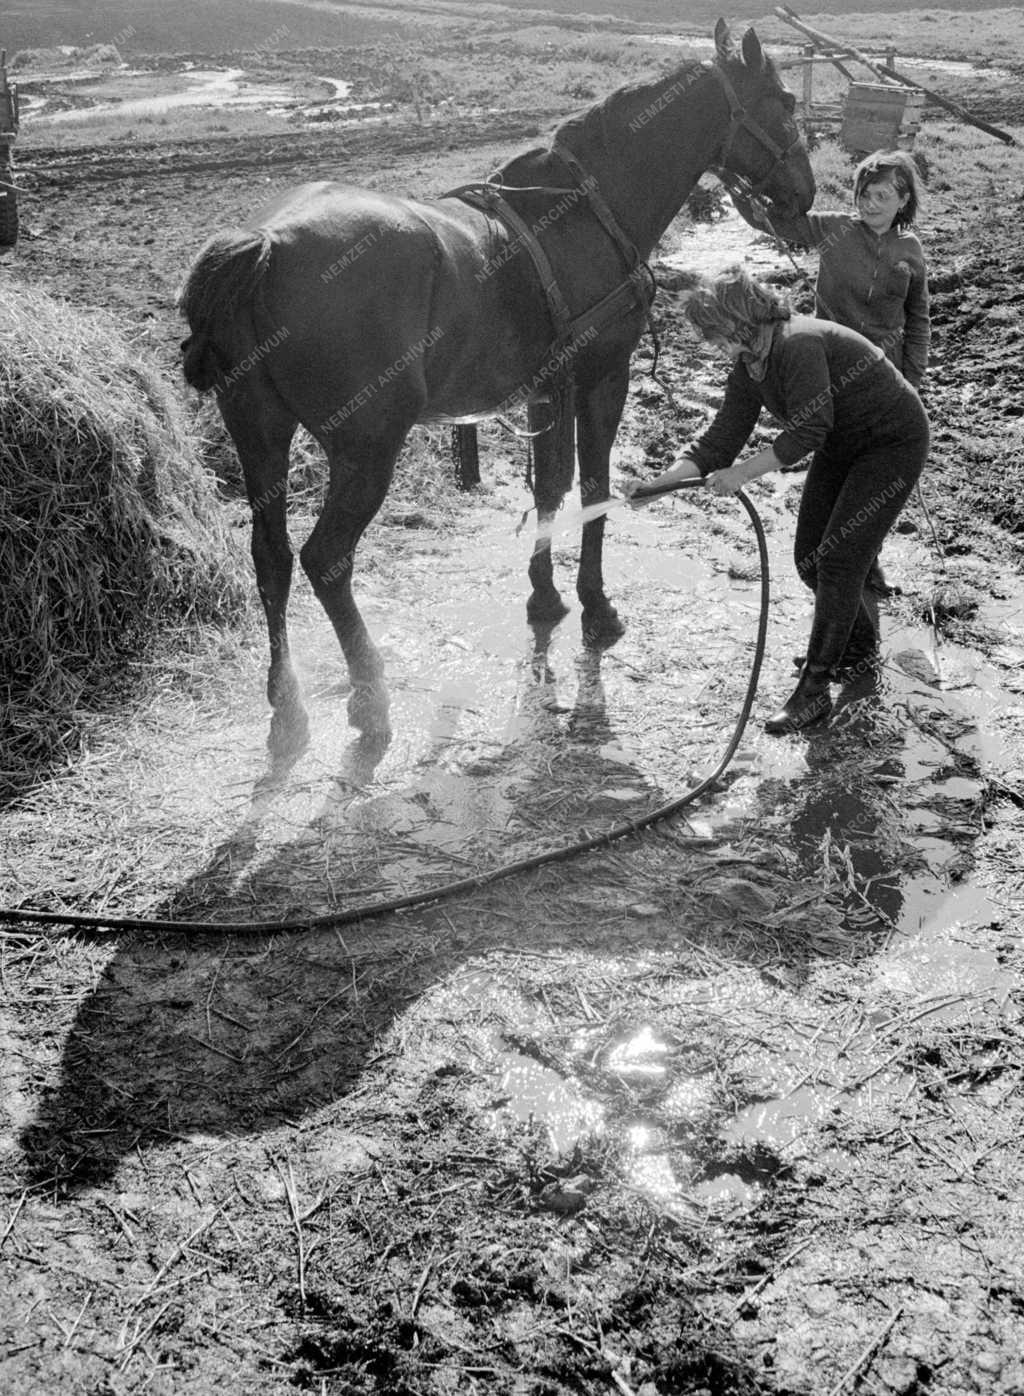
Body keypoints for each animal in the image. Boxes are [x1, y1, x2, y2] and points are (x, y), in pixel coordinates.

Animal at [179, 19, 814, 765]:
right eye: (784, 101)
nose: (804, 195)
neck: (584, 210)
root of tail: (266, 242)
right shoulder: (601, 377)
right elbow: (591, 487)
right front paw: (595, 606)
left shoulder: (544, 391)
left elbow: (549, 490)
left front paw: (544, 597)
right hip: (366, 448)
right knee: (326, 560)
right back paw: (370, 693)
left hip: (260, 435)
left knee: (272, 559)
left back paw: (287, 705)